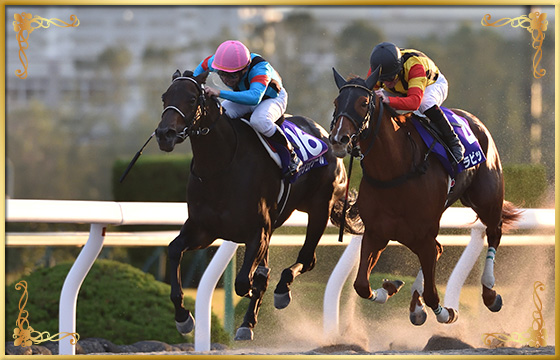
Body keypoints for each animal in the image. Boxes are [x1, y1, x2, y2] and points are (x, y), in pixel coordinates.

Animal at [153, 70, 346, 340]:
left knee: (307, 259)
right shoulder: (203, 230)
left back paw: (279, 292)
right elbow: (173, 250)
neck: (220, 166)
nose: (164, 134)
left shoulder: (257, 231)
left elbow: (245, 282)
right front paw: (183, 318)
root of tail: (324, 134)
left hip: (320, 208)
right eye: (165, 97)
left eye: (191, 99)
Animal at [328, 66, 520, 324]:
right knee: (439, 249)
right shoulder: (377, 233)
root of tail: (474, 120)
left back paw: (490, 293)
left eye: (363, 102)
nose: (338, 139)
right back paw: (416, 305)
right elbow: (361, 285)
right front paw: (390, 288)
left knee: (494, 232)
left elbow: (432, 293)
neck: (394, 171)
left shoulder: (422, 233)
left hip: (486, 199)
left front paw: (447, 313)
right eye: (337, 102)